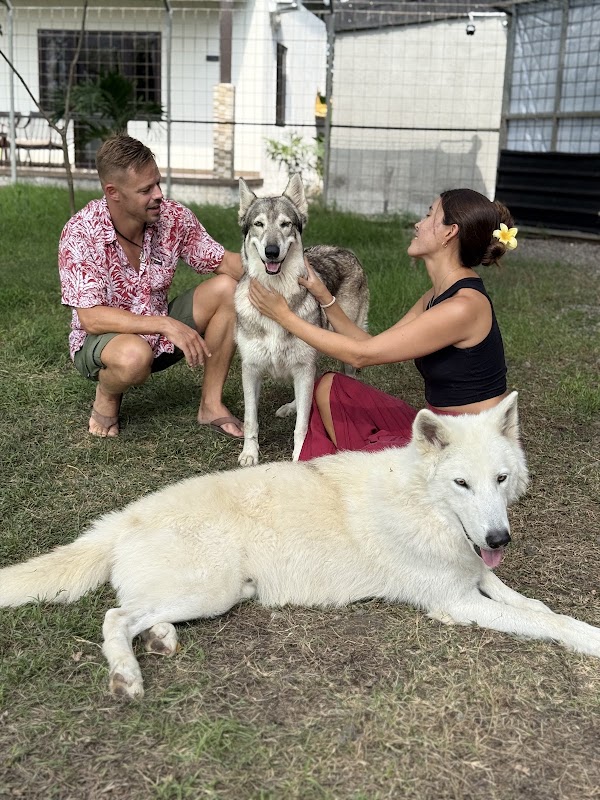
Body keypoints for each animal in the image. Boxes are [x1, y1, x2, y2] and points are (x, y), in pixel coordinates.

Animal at [1, 392, 599, 700]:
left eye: (500, 480)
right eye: (461, 485)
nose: (500, 537)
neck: (421, 506)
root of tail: (123, 517)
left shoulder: (475, 571)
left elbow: (531, 602)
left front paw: (571, 620)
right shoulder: (455, 602)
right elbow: (541, 621)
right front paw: (585, 640)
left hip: (212, 595)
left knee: (136, 615)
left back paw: (161, 640)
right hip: (214, 589)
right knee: (113, 617)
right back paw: (127, 676)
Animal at [234, 174, 369, 466]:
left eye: (285, 224)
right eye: (258, 224)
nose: (272, 251)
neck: (277, 294)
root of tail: (345, 250)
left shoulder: (303, 367)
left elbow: (303, 426)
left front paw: (299, 455)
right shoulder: (250, 369)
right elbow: (251, 420)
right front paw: (250, 454)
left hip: (343, 348)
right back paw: (291, 406)